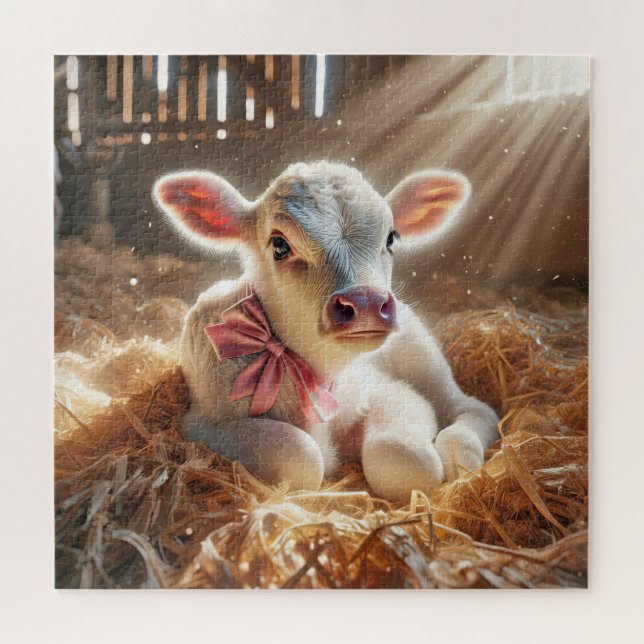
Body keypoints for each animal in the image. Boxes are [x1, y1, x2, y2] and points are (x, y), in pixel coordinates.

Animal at [153, 162, 499, 501]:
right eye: (280, 244)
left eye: (390, 239)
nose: (365, 301)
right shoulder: (202, 423)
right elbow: (302, 455)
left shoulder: (388, 390)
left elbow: (402, 456)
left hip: (424, 358)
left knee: (472, 408)